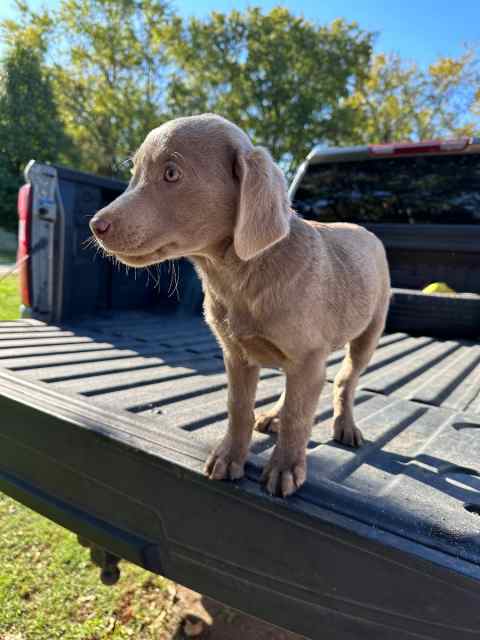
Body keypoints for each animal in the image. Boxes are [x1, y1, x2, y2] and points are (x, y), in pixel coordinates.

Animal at [90, 112, 390, 498]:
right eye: (134, 172)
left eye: (171, 173)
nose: (95, 225)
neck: (237, 279)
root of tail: (364, 229)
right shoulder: (236, 354)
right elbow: (238, 406)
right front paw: (229, 456)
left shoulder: (308, 357)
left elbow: (298, 416)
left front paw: (285, 467)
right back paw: (274, 416)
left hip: (368, 334)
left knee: (344, 380)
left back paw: (345, 425)